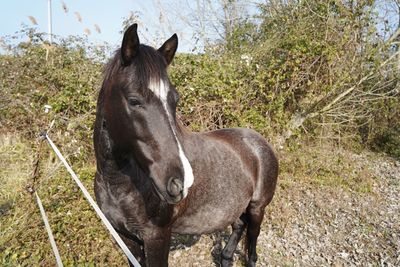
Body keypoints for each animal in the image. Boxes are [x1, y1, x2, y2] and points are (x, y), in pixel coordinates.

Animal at [93, 24, 278, 266]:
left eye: (175, 100)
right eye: (134, 100)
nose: (180, 182)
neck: (118, 182)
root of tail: (259, 141)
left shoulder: (157, 237)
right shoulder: (126, 238)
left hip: (257, 208)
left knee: (252, 244)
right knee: (238, 225)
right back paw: (226, 257)